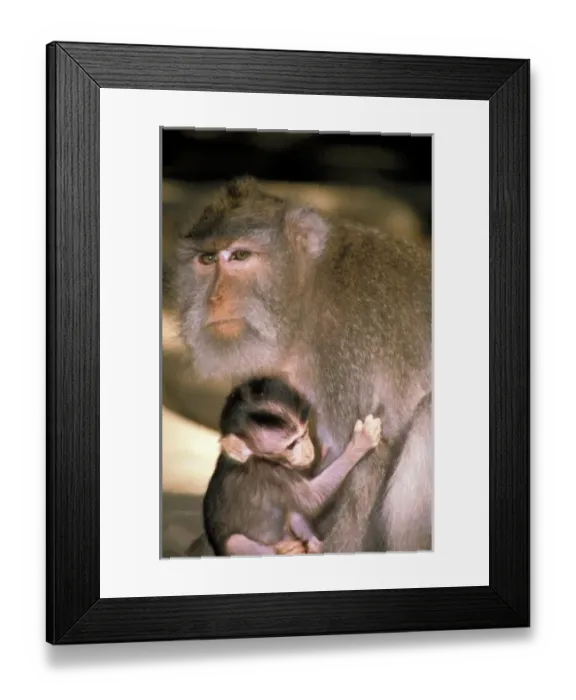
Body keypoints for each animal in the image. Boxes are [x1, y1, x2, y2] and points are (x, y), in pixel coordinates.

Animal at [203, 376, 382, 556]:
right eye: (291, 445)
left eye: (304, 433)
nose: (309, 452)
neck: (253, 458)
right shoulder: (272, 473)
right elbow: (313, 499)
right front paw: (360, 443)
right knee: (235, 542)